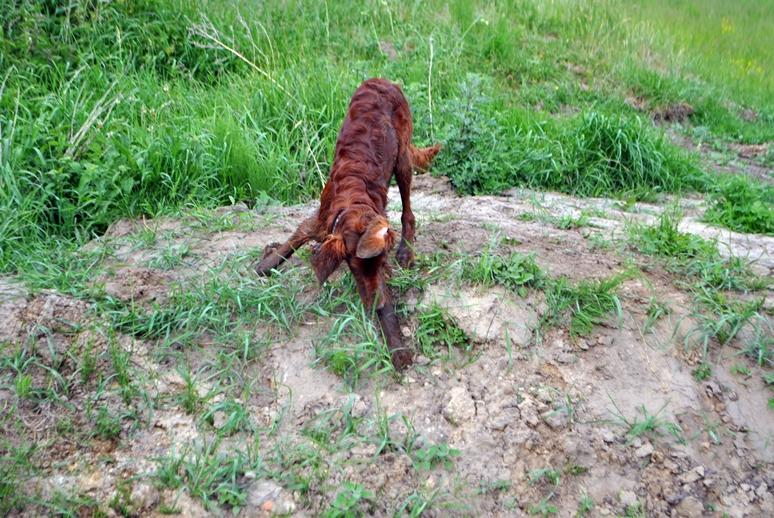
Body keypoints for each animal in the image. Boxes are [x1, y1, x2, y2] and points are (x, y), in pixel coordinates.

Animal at [254, 78, 441, 369]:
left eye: (382, 264)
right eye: (353, 267)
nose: (374, 305)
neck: (353, 200)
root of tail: (383, 80)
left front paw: (397, 348)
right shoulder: (322, 221)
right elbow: (297, 235)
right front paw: (267, 263)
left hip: (402, 158)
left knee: (408, 212)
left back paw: (406, 250)